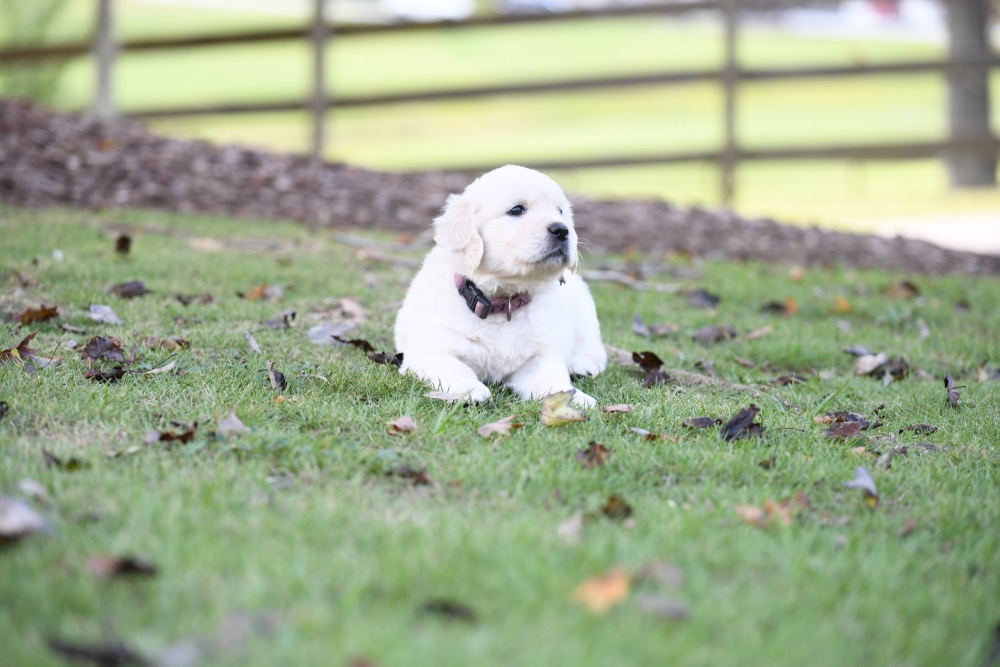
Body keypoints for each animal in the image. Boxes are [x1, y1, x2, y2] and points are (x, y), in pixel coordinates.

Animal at [394, 164, 604, 410]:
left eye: (560, 211)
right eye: (517, 210)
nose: (562, 230)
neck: (504, 301)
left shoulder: (538, 358)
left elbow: (553, 380)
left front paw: (575, 398)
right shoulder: (429, 351)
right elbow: (455, 368)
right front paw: (472, 391)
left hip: (583, 311)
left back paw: (580, 365)